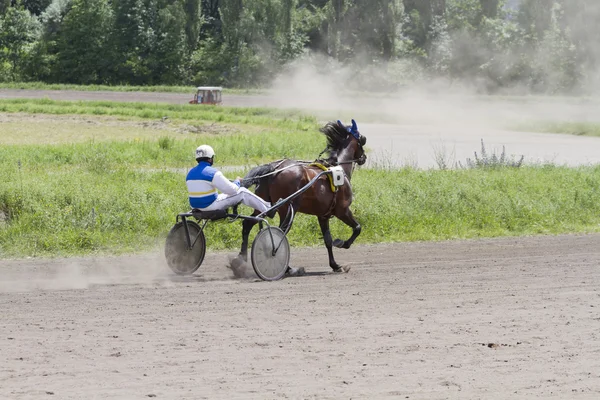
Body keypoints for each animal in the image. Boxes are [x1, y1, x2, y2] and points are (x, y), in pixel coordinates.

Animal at [237, 119, 368, 274]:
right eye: (362, 139)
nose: (364, 158)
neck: (339, 169)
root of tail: (274, 169)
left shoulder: (323, 215)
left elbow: (328, 240)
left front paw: (335, 265)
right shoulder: (342, 210)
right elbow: (357, 228)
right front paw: (342, 243)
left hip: (263, 204)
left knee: (248, 223)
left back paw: (241, 258)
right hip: (287, 208)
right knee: (280, 233)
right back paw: (286, 266)